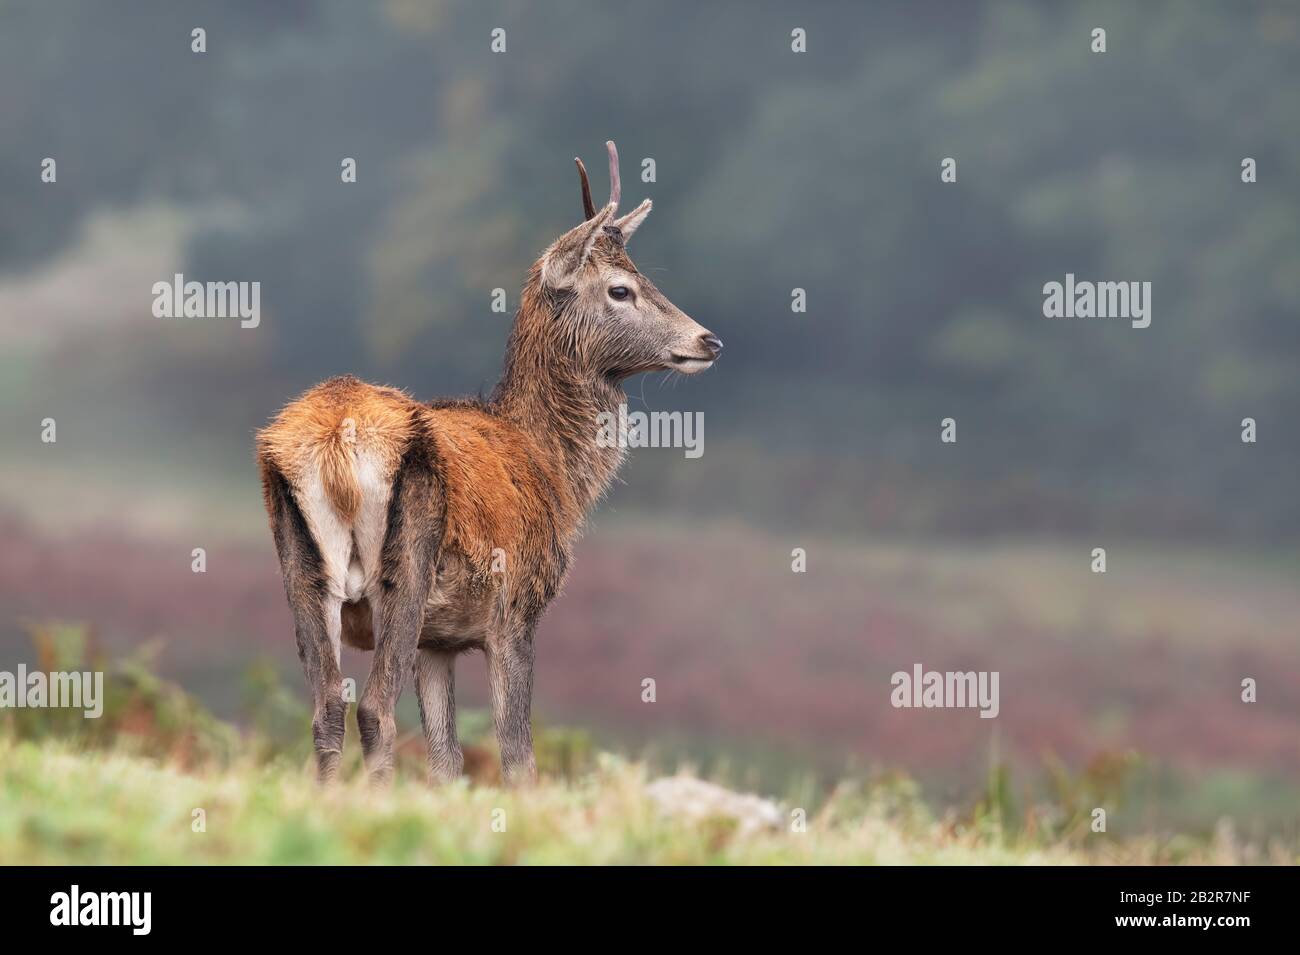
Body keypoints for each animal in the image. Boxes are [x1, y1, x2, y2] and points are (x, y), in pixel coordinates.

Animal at [256, 142, 722, 786]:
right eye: (620, 289)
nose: (708, 340)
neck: (556, 472)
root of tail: (335, 442)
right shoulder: (516, 607)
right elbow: (517, 755)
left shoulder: (439, 641)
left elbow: (447, 762)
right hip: (405, 565)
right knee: (374, 708)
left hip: (301, 567)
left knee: (327, 708)